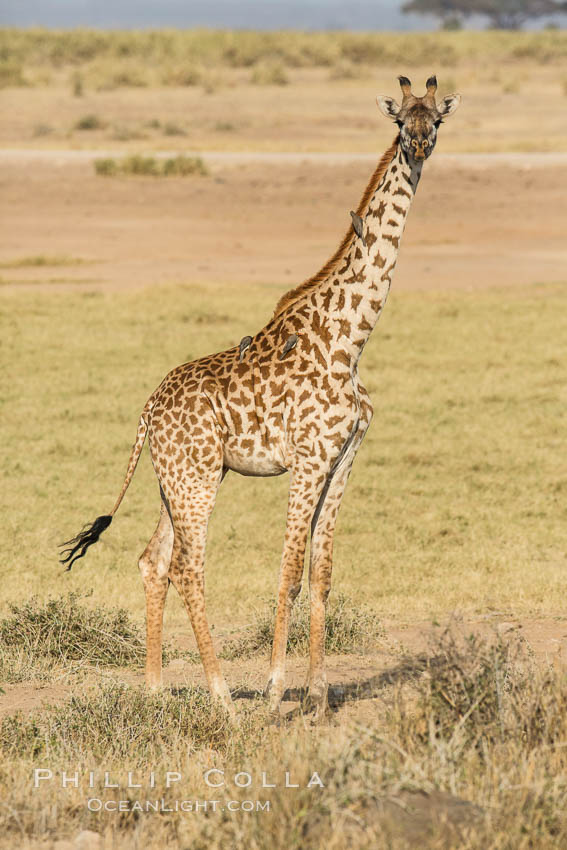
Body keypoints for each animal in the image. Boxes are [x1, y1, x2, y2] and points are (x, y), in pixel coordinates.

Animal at [61, 76, 461, 722]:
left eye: (438, 121)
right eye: (402, 121)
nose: (420, 145)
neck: (350, 341)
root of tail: (146, 413)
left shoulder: (343, 459)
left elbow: (323, 573)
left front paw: (318, 696)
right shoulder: (309, 458)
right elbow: (290, 571)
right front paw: (276, 694)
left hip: (182, 477)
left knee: (154, 559)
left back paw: (155, 692)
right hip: (196, 479)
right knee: (189, 566)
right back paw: (223, 697)